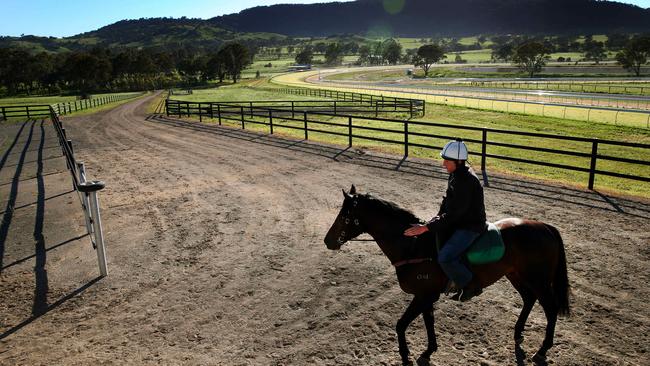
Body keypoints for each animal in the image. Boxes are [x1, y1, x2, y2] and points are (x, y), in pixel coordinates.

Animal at [324, 186, 568, 366]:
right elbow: (428, 321)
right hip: (517, 275)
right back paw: (518, 334)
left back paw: (542, 349)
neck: (414, 246)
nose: (328, 240)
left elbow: (401, 325)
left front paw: (406, 355)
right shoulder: (426, 296)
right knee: (529, 299)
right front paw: (429, 350)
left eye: (345, 215)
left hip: (539, 280)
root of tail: (545, 227)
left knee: (550, 309)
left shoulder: (423, 296)